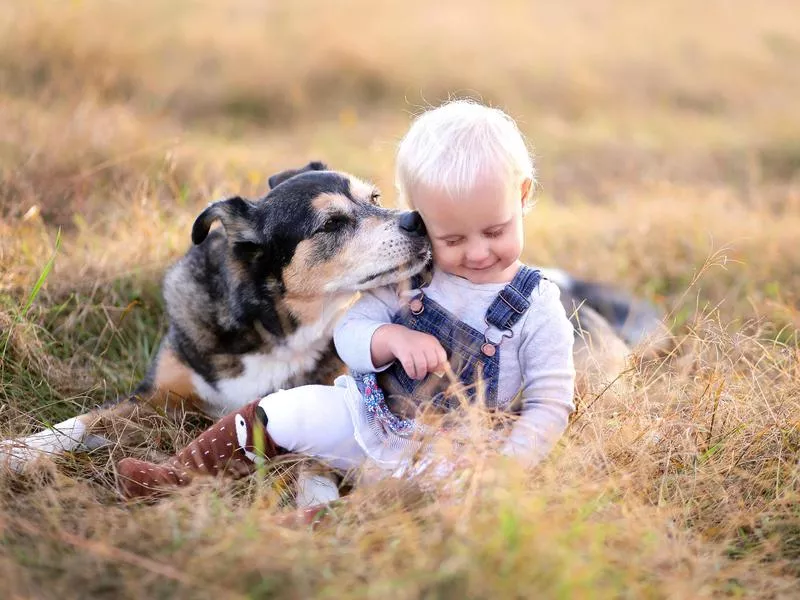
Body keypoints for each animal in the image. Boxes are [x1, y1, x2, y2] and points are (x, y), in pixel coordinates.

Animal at [0, 162, 668, 476]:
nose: (419, 220)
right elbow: (81, 421)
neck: (271, 324)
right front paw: (19, 451)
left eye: (373, 199)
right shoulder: (159, 392)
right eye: (332, 223)